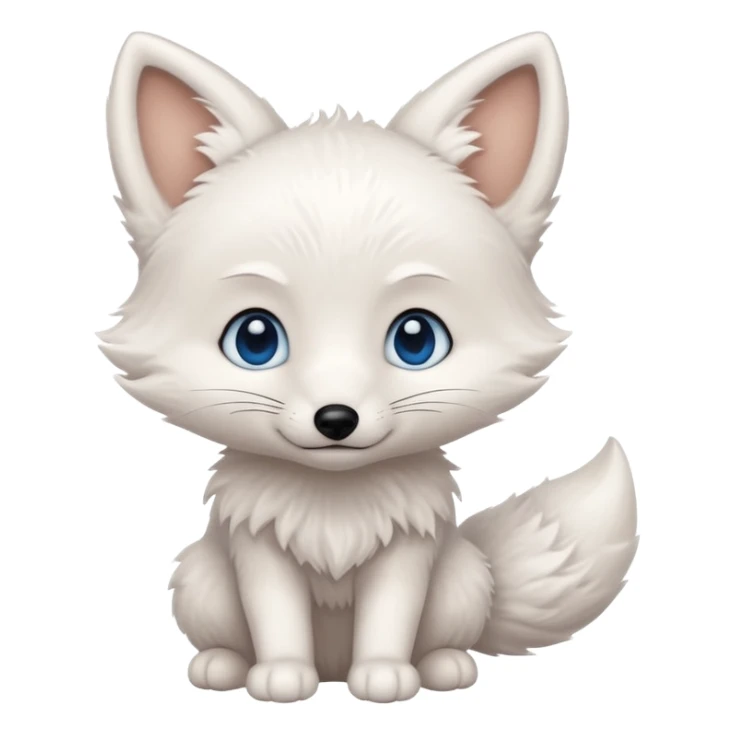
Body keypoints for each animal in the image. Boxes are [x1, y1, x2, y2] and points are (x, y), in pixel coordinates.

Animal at [104, 31, 636, 703]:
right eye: (255, 339)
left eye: (416, 339)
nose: (337, 418)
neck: (337, 503)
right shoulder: (259, 549)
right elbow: (275, 617)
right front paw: (282, 676)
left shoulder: (408, 550)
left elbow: (392, 617)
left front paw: (384, 675)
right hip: (203, 580)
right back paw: (225, 666)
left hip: (461, 577)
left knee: (446, 633)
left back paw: (442, 666)